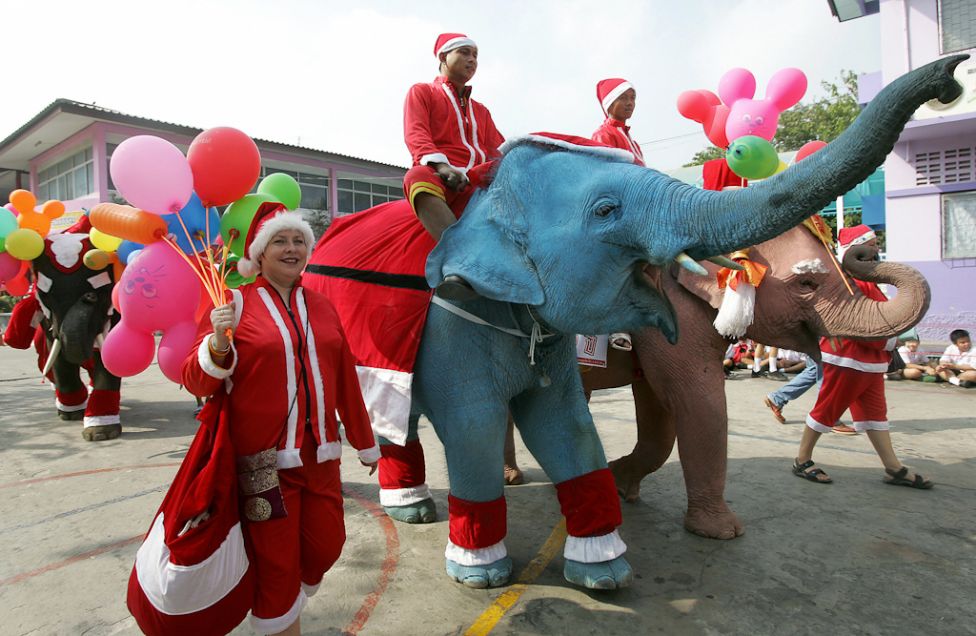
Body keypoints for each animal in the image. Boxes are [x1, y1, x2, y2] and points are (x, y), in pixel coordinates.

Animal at [580, 221, 932, 540]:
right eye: (806, 283)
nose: (867, 251)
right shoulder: (676, 312)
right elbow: (697, 401)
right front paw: (723, 532)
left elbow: (658, 409)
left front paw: (621, 485)